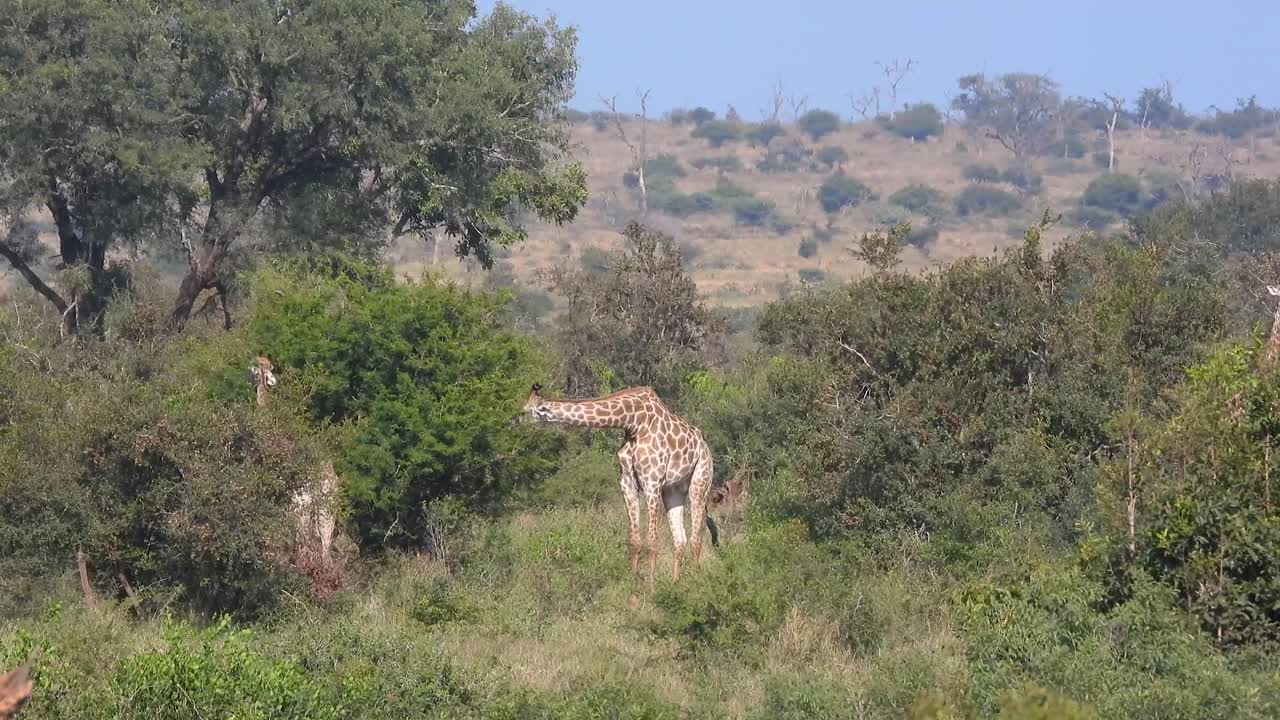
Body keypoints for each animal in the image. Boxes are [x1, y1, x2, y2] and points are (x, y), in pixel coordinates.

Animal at [521, 383, 717, 584]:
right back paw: (675, 583)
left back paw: (694, 581)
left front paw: (651, 585)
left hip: (700, 480)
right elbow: (635, 539)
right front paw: (633, 582)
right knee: (680, 540)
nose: (517, 424)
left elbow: (652, 539)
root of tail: (705, 445)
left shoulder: (652, 481)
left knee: (695, 538)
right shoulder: (628, 484)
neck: (633, 422)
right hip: (673, 491)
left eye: (525, 411)